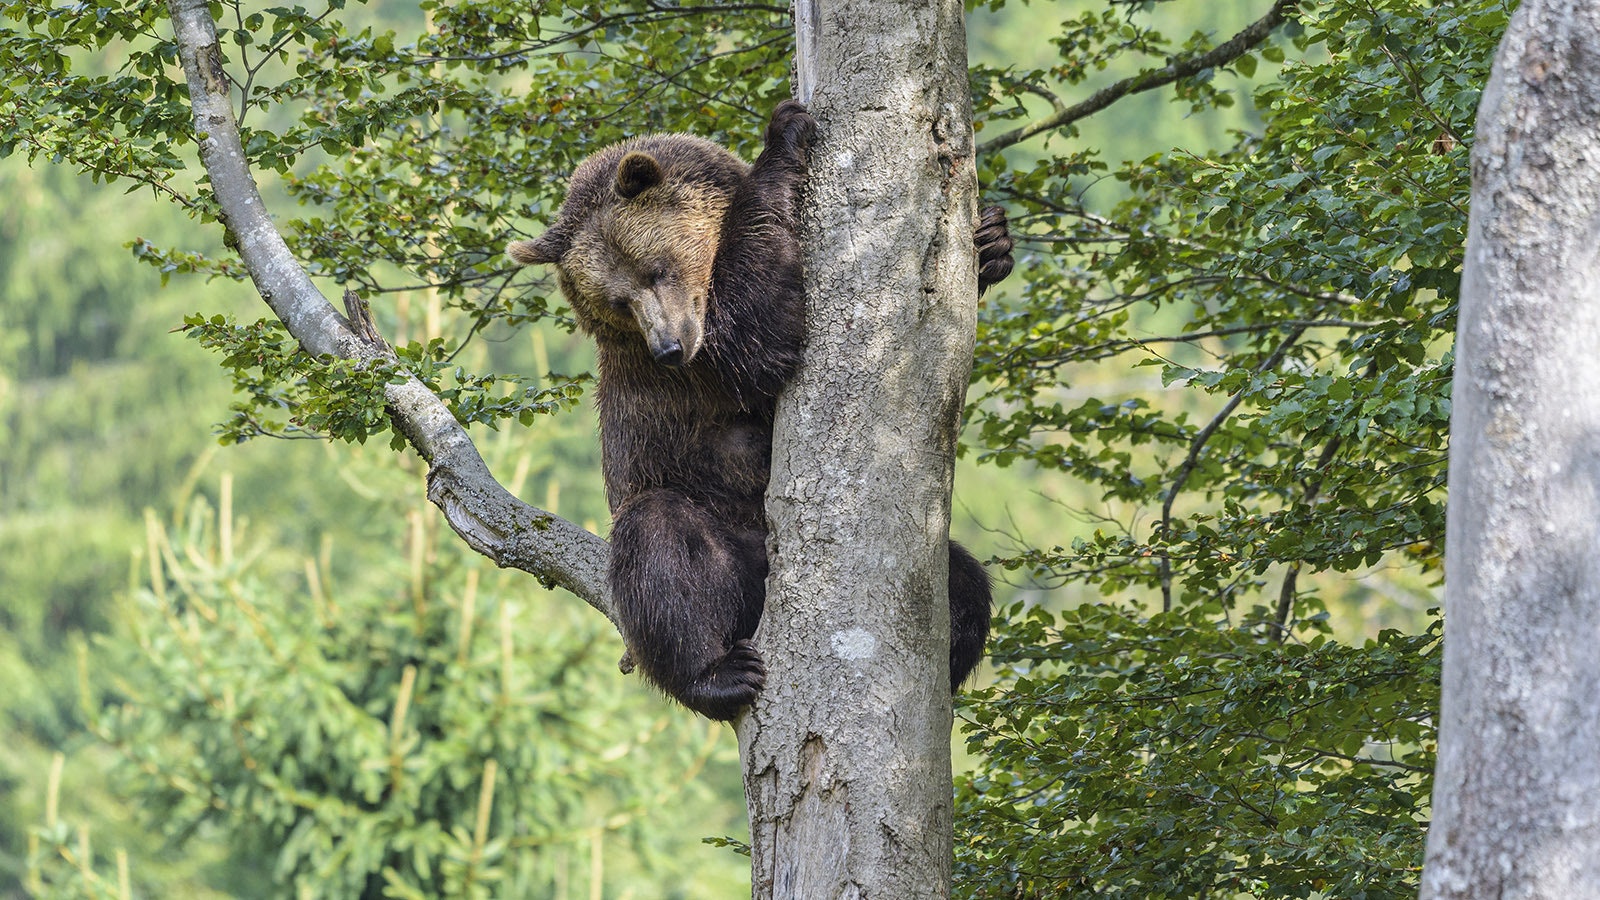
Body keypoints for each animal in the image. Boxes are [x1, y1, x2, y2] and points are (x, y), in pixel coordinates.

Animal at [508, 99, 1011, 714]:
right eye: (617, 300)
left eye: (655, 269)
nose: (668, 347)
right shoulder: (703, 363)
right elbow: (757, 332)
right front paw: (785, 134)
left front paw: (993, 241)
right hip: (718, 528)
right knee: (659, 546)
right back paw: (717, 673)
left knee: (963, 579)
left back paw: (947, 663)